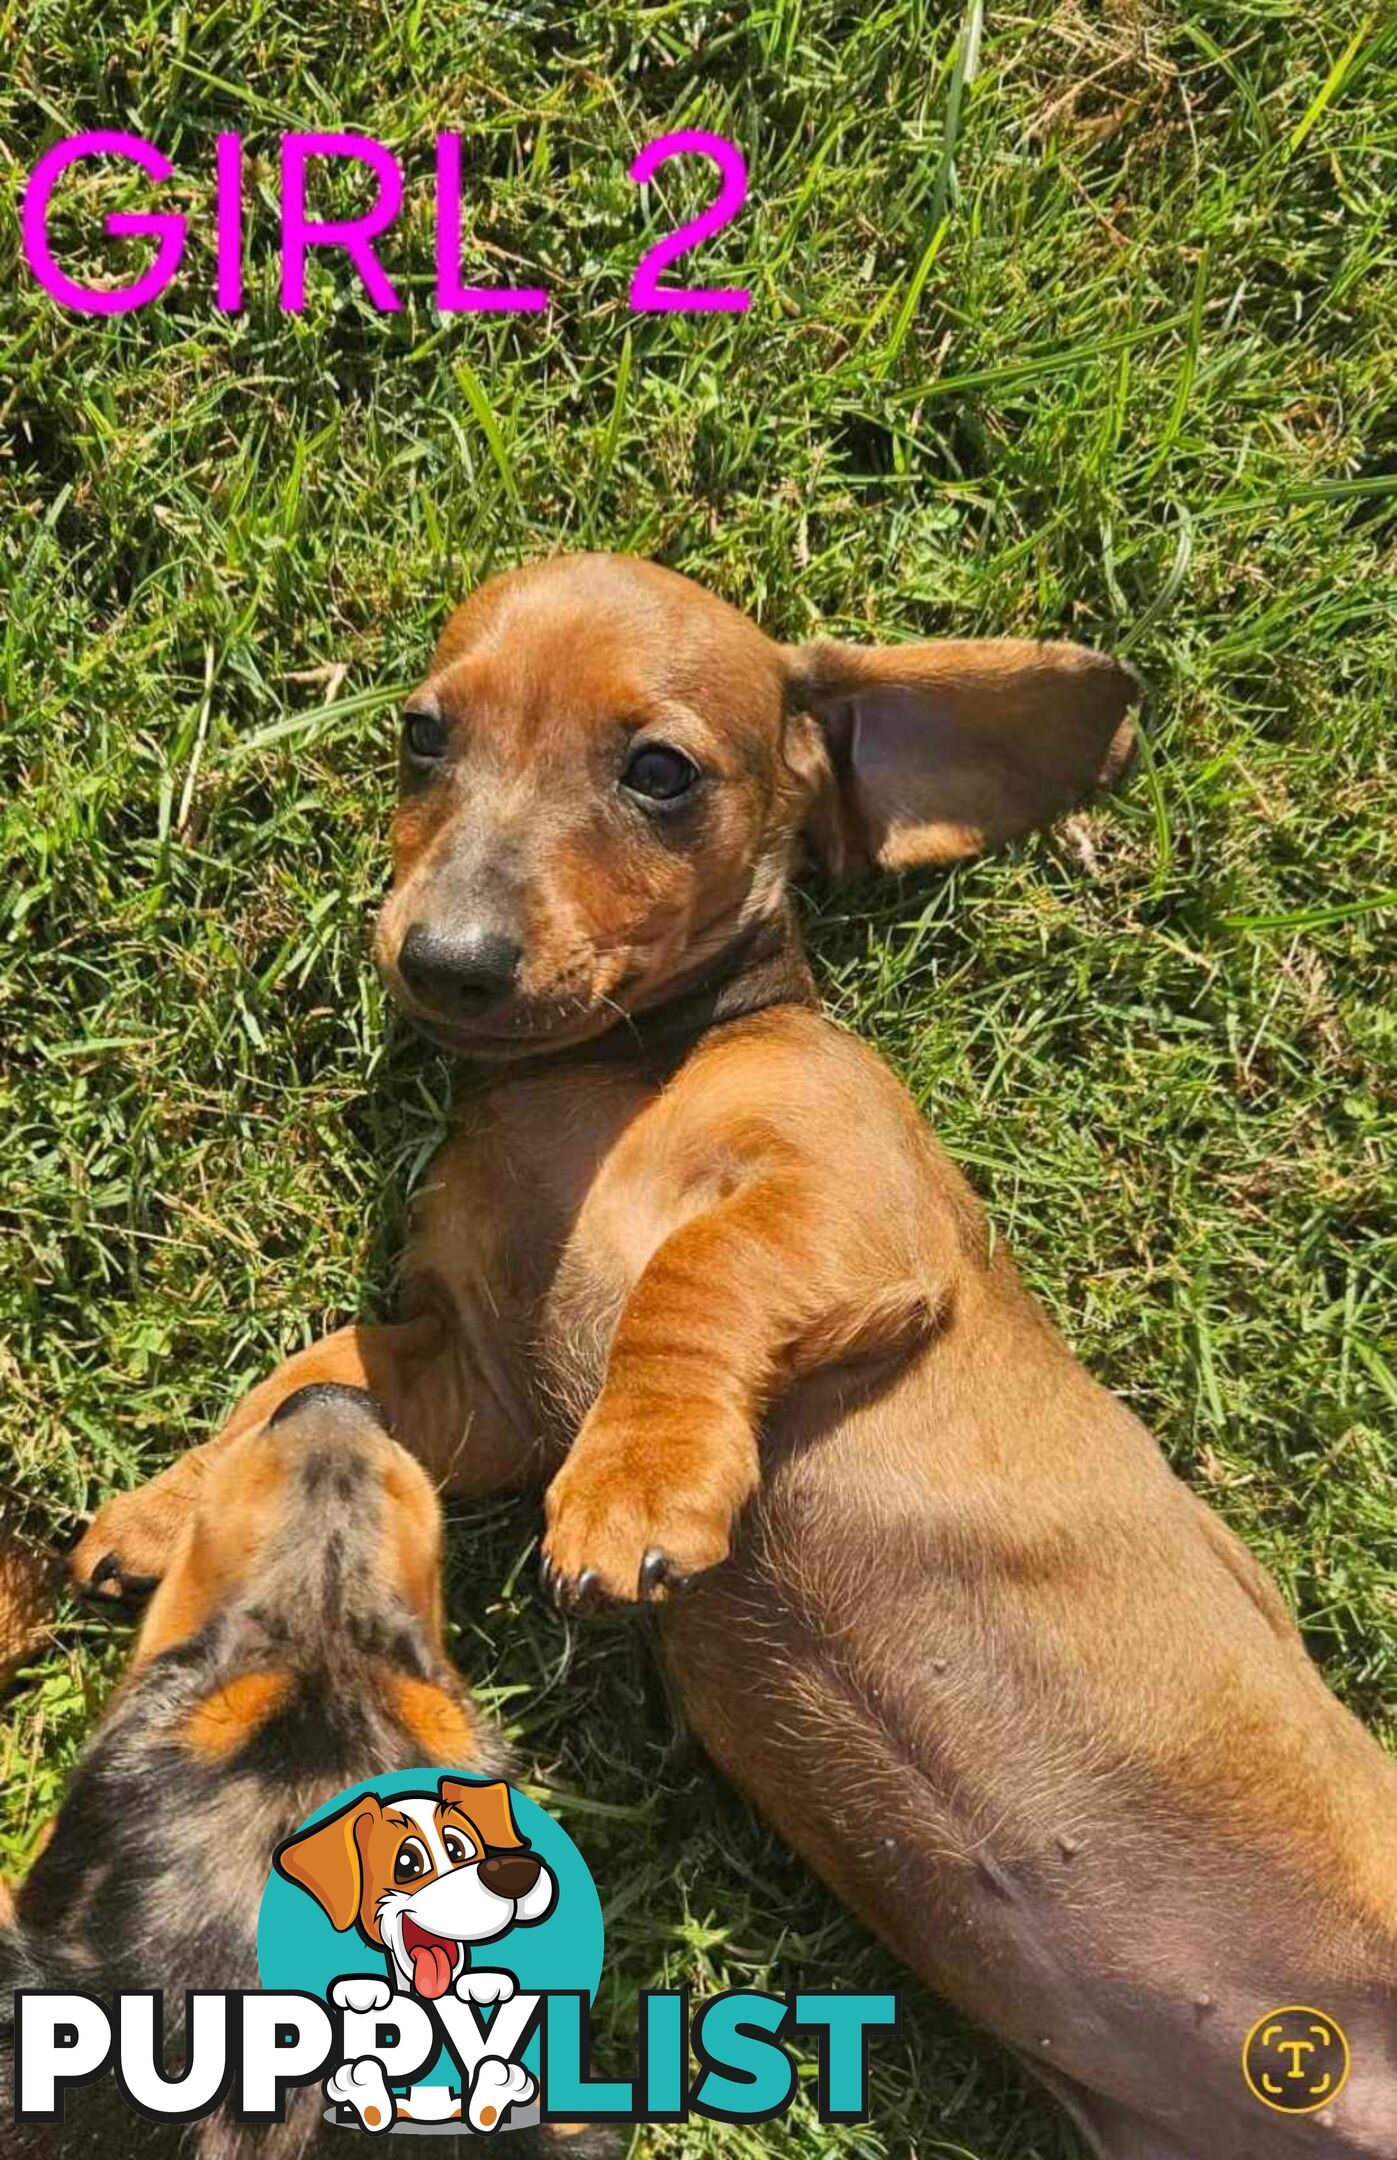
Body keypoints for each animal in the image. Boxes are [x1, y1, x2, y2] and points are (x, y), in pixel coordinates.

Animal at [68, 561, 1397, 2160]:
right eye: (420, 738)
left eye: (659, 772)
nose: (441, 963)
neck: (612, 1073)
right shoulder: (470, 1380)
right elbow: (305, 1380)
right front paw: (185, 1509)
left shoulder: (843, 1200)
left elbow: (690, 1280)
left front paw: (635, 1486)